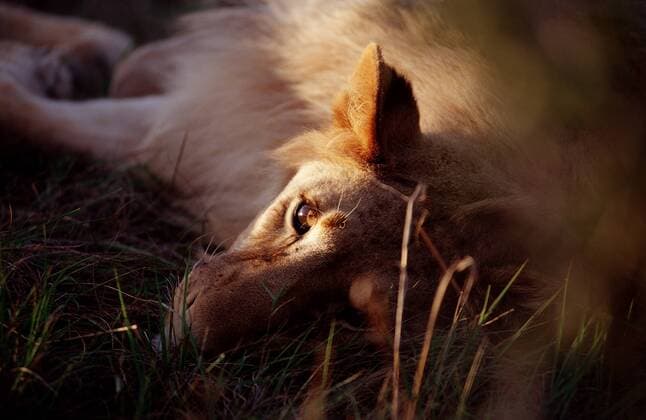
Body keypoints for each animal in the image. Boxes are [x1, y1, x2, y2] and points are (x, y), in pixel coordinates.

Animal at [1, 0, 646, 416]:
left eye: (347, 314)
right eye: (302, 217)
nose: (177, 345)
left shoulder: (192, 127)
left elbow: (27, 110)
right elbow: (132, 62)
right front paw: (73, 60)